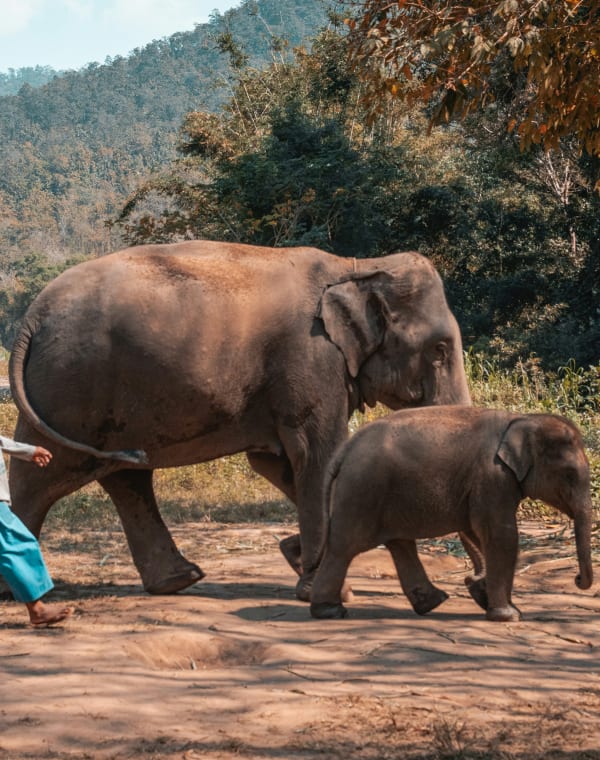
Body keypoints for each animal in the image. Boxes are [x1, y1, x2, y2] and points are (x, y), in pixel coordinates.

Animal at [7, 240, 471, 599]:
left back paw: (178, 581)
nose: (471, 585)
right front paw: (323, 587)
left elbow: (277, 463)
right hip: (72, 388)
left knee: (125, 476)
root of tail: (32, 316)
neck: (355, 266)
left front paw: (297, 556)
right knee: (43, 474)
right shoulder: (310, 360)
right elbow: (317, 456)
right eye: (440, 350)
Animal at [310, 406, 594, 621]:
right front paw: (509, 616)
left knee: (400, 543)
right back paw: (329, 611)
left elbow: (477, 532)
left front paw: (484, 594)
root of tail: (346, 449)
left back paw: (432, 603)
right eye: (569, 475)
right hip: (362, 491)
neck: (522, 418)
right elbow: (501, 535)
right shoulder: (493, 477)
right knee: (344, 547)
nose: (577, 578)